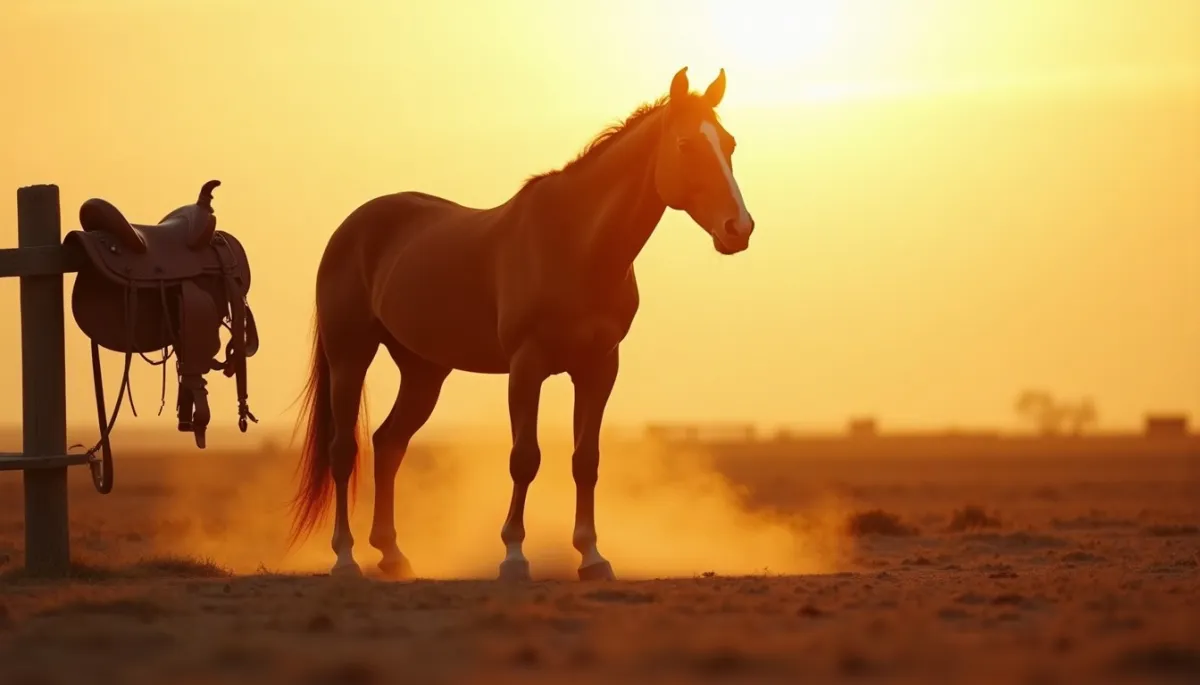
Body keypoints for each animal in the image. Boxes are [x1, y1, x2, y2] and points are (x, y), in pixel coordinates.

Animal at [287, 66, 755, 581]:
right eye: (687, 144)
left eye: (729, 144)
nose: (739, 228)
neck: (576, 244)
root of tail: (353, 227)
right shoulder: (527, 366)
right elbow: (524, 458)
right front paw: (513, 555)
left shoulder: (599, 367)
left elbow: (585, 460)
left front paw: (592, 556)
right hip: (350, 356)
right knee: (343, 452)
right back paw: (346, 557)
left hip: (423, 370)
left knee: (389, 444)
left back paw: (392, 554)